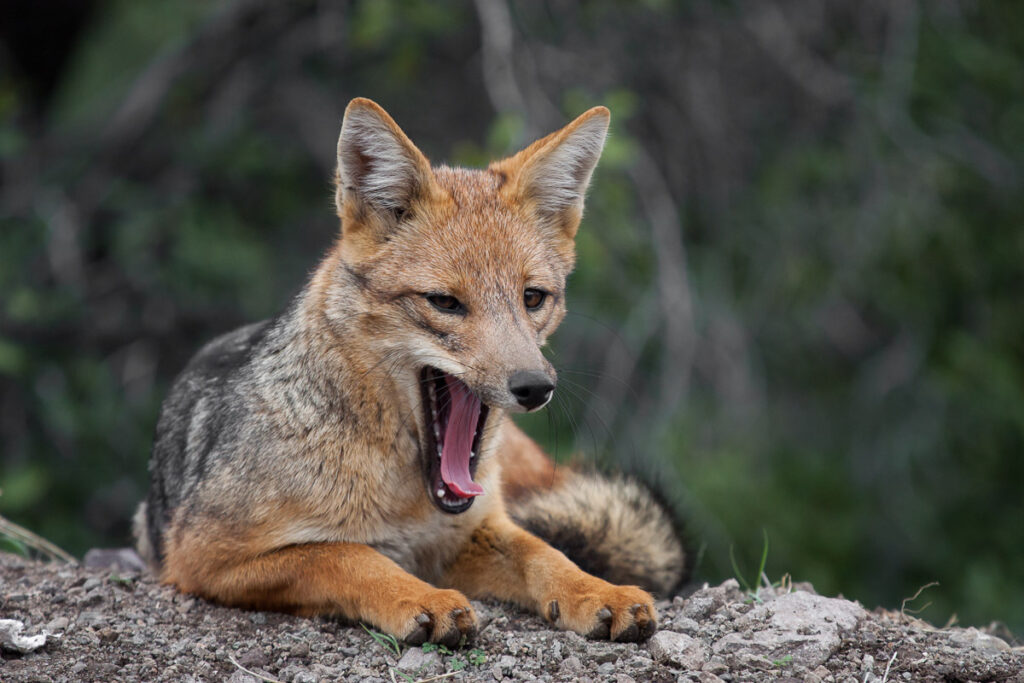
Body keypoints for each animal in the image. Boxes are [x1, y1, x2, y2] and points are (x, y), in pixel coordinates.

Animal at [134, 98, 687, 646]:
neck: (406, 500)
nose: (535, 387)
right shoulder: (202, 556)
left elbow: (545, 553)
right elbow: (347, 553)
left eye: (533, 298)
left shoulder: (472, 529)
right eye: (444, 302)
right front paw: (420, 597)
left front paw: (597, 590)